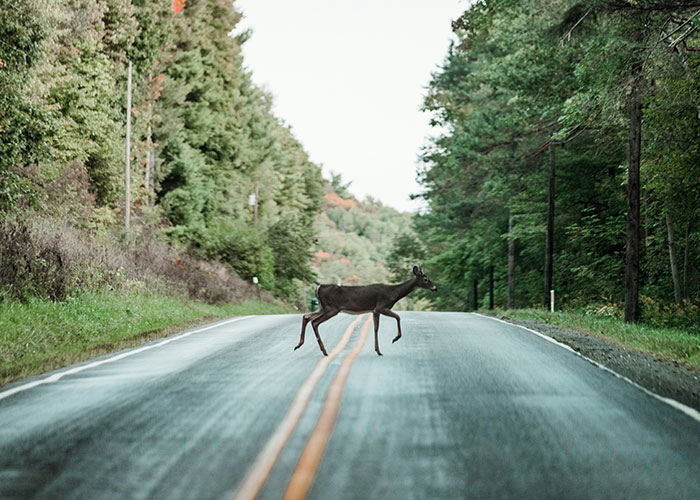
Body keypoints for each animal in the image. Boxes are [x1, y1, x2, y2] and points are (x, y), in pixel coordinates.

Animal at [295, 265, 437, 356]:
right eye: (425, 279)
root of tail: (318, 287)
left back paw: (299, 345)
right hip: (331, 308)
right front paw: (395, 339)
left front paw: (378, 350)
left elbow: (376, 328)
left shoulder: (375, 310)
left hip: (322, 307)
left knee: (306, 316)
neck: (394, 293)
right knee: (315, 322)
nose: (435, 288)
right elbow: (398, 317)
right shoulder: (382, 306)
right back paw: (324, 351)